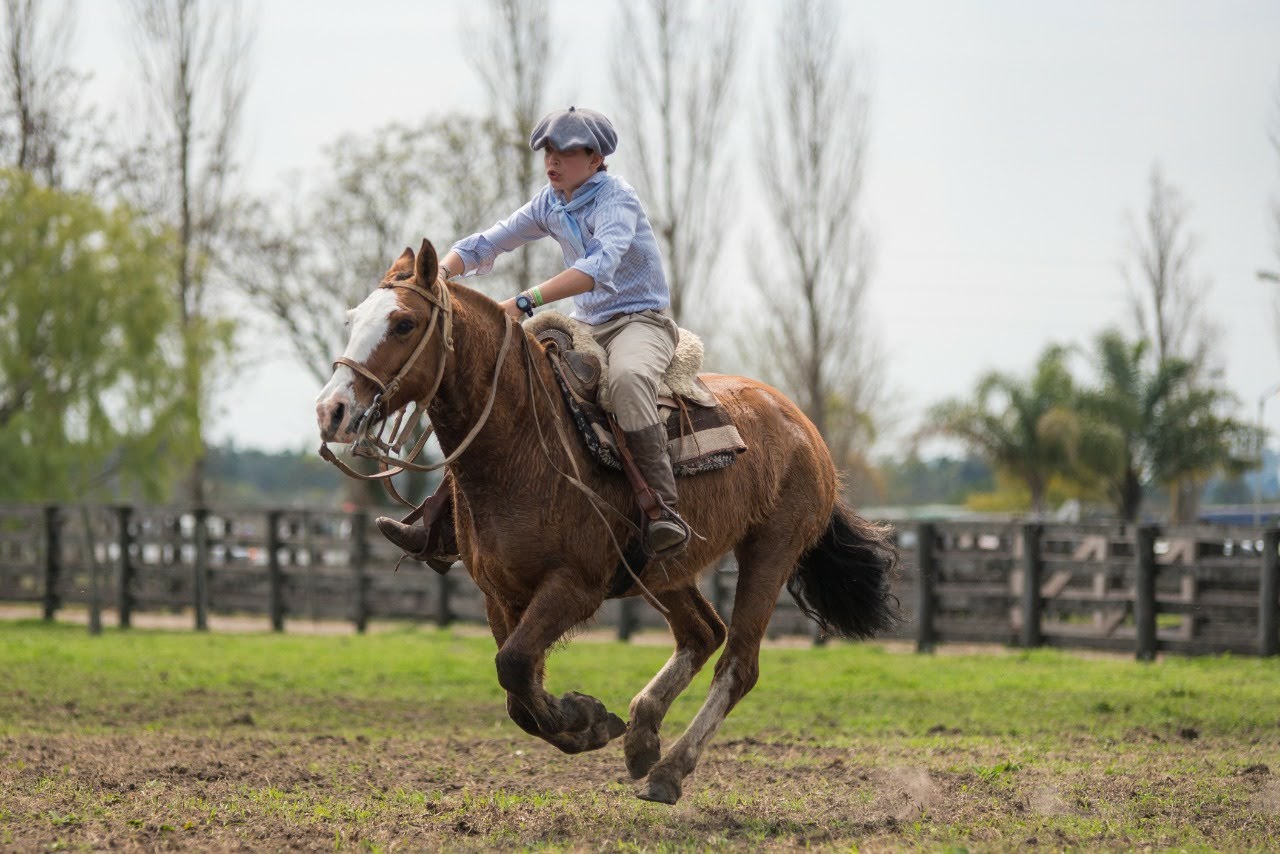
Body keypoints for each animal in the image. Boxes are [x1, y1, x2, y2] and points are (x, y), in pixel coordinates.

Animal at [314, 240, 901, 809]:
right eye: (354, 319)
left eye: (403, 323)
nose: (332, 411)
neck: (521, 440)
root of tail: (804, 427)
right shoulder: (499, 594)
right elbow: (518, 690)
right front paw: (588, 720)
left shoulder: (574, 586)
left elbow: (516, 665)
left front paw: (586, 719)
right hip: (663, 570)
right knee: (702, 633)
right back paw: (642, 736)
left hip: (770, 552)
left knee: (738, 663)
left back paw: (668, 772)